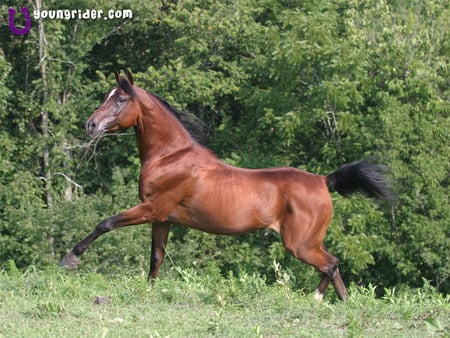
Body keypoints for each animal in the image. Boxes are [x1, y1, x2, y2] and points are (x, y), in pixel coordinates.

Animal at [61, 69, 392, 302]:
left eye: (120, 99)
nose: (90, 125)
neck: (171, 156)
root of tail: (323, 181)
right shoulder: (162, 218)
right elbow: (156, 257)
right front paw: (150, 291)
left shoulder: (152, 208)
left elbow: (105, 223)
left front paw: (70, 259)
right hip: (309, 242)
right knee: (331, 264)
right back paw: (334, 301)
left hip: (300, 244)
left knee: (330, 263)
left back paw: (321, 299)